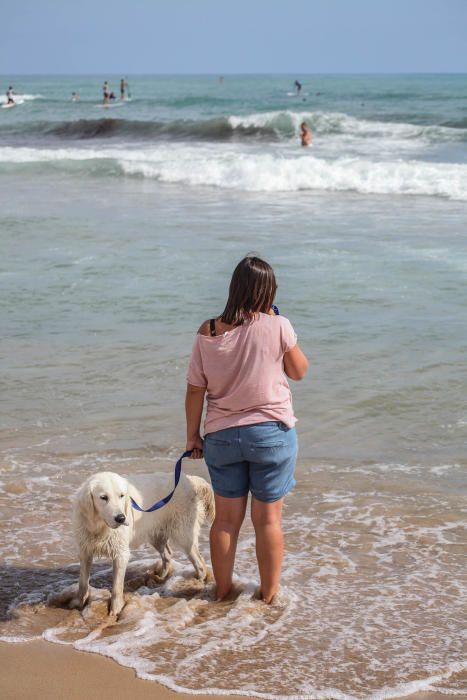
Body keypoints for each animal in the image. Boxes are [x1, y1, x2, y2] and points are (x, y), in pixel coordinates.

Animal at [72, 468, 216, 616]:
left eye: (121, 496)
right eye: (103, 497)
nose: (121, 518)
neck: (99, 527)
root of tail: (190, 479)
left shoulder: (121, 554)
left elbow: (117, 586)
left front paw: (116, 609)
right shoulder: (85, 550)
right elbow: (82, 582)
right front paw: (78, 602)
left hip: (183, 535)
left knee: (199, 563)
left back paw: (198, 582)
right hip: (157, 535)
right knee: (168, 554)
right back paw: (160, 577)